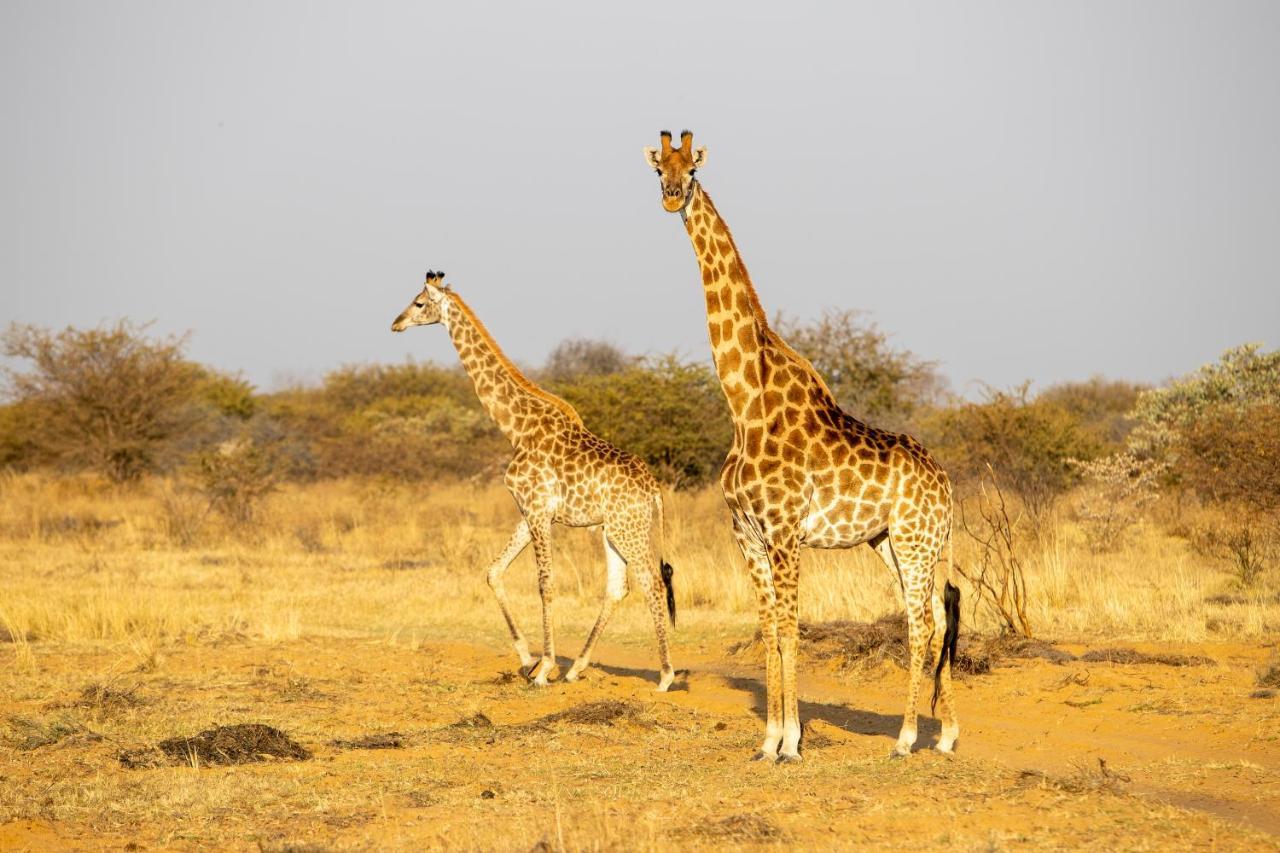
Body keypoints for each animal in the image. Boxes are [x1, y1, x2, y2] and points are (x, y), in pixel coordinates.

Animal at [391, 272, 675, 691]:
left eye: (419, 303)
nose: (395, 323)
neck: (516, 428)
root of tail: (654, 489)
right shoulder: (527, 512)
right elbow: (493, 572)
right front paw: (528, 659)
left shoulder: (539, 512)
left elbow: (546, 584)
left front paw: (544, 668)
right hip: (612, 530)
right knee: (618, 588)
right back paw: (577, 668)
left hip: (630, 529)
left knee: (652, 583)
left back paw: (665, 676)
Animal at [650, 131, 962, 758]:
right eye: (655, 169)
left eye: (691, 169)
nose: (671, 197)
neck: (745, 404)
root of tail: (946, 485)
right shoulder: (746, 533)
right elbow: (770, 628)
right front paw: (767, 739)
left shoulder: (785, 532)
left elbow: (792, 630)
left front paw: (791, 742)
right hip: (893, 542)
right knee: (934, 618)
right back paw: (945, 733)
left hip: (915, 540)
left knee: (922, 620)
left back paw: (906, 738)